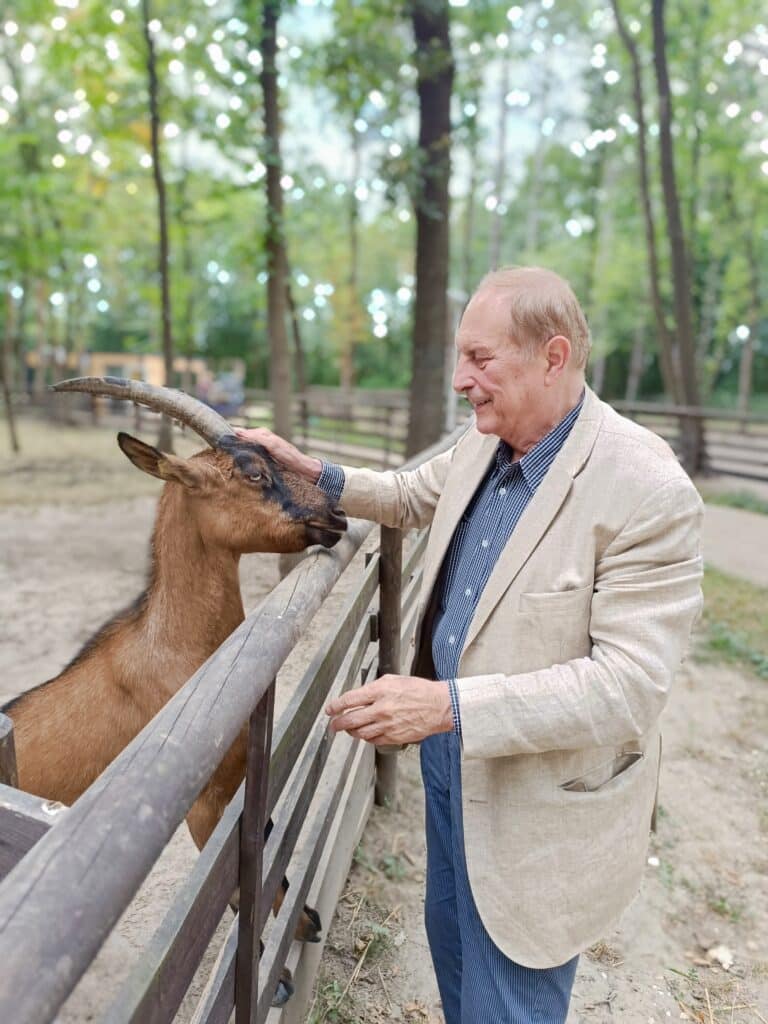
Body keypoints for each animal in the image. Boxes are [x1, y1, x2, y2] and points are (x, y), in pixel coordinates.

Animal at [2, 376, 347, 1006]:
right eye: (253, 471)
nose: (335, 513)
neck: (175, 648)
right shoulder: (206, 803)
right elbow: (240, 883)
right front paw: (276, 977)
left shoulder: (242, 781)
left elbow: (269, 856)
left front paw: (306, 921)